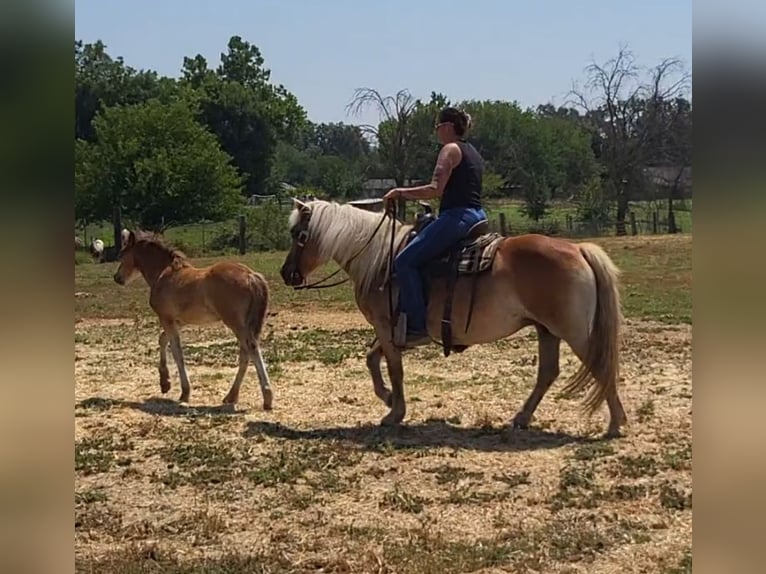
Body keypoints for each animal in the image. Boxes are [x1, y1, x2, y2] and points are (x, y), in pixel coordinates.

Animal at [112, 232, 272, 412]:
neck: (163, 274)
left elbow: (177, 351)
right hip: (243, 324)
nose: (117, 278)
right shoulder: (178, 320)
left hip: (235, 323)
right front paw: (165, 383)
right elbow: (162, 339)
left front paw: (185, 392)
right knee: (245, 353)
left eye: (122, 254)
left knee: (251, 349)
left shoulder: (165, 318)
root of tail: (251, 275)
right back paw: (231, 396)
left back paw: (267, 397)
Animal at [282, 200, 632, 438]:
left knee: (600, 366)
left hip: (573, 332)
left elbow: (393, 369)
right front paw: (389, 399)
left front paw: (395, 411)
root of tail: (579, 249)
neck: (380, 260)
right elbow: (372, 359)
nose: (287, 274)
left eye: (299, 234)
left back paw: (616, 423)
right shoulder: (394, 330)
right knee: (548, 373)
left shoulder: (385, 326)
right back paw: (522, 418)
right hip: (547, 330)